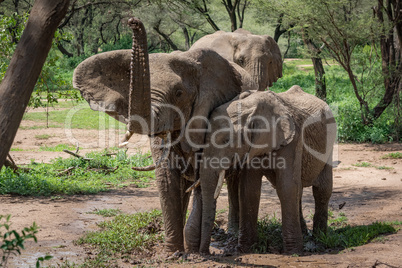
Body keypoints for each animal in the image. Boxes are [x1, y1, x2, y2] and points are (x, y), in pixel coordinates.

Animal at [72, 17, 258, 252]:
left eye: (179, 94)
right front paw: (173, 252)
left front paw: (191, 250)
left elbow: (202, 176)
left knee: (231, 179)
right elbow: (167, 177)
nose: (133, 21)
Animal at [185, 85, 336, 253]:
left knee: (322, 190)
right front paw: (246, 248)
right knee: (300, 190)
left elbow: (287, 186)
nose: (204, 252)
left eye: (226, 140)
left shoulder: (292, 140)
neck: (250, 108)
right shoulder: (252, 147)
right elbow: (249, 189)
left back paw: (319, 238)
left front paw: (294, 252)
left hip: (329, 145)